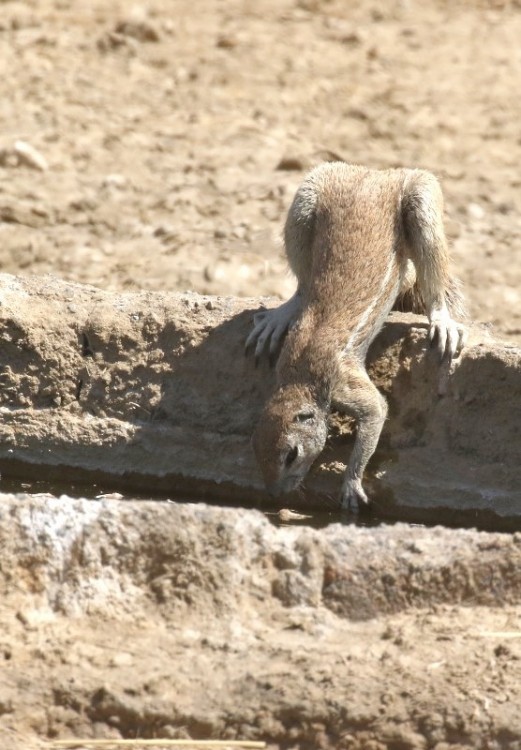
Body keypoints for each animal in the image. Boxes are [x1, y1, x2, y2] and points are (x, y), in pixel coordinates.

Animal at [246, 162, 466, 516]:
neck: (298, 375)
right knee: (302, 285)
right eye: (254, 450)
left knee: (434, 276)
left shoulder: (344, 383)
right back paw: (283, 313)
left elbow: (377, 410)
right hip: (306, 201)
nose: (274, 495)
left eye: (291, 454)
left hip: (421, 201)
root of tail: (376, 173)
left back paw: (442, 319)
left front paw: (351, 484)